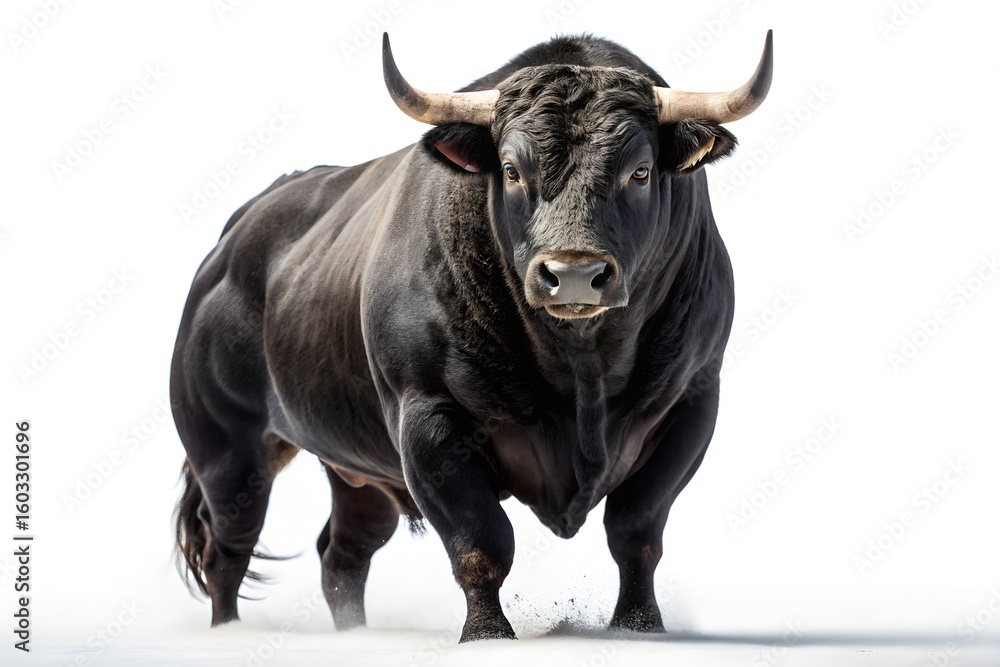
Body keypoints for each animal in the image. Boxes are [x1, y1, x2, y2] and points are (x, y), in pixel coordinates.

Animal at [171, 31, 773, 642]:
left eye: (642, 171)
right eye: (510, 170)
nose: (574, 272)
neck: (583, 369)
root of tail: (232, 239)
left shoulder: (692, 404)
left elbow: (637, 532)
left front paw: (638, 627)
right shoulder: (426, 414)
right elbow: (481, 540)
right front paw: (487, 636)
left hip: (358, 473)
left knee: (342, 554)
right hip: (226, 447)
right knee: (227, 549)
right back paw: (228, 635)